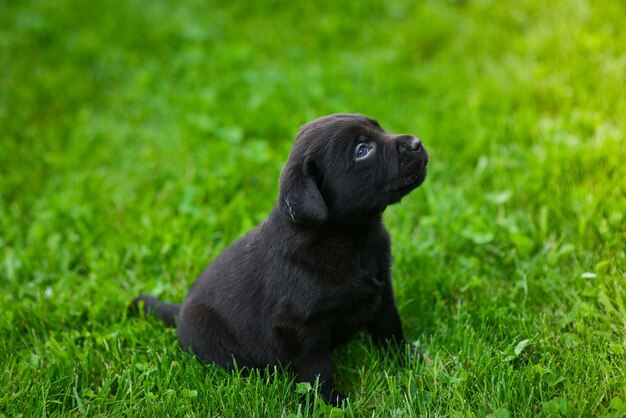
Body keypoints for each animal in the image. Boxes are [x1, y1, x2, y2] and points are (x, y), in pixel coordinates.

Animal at [129, 112, 426, 404]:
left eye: (379, 128)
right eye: (362, 150)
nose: (417, 142)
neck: (351, 240)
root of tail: (180, 311)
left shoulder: (382, 288)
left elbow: (389, 327)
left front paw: (404, 361)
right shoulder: (301, 326)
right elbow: (317, 368)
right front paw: (329, 402)